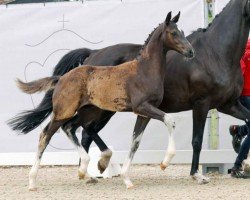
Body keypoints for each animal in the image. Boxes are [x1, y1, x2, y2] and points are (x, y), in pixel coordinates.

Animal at [9, 0, 250, 184]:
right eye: (174, 33)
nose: (190, 52)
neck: (215, 53)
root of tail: (92, 54)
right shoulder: (201, 104)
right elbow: (196, 140)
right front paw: (195, 175)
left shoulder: (228, 104)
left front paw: (240, 161)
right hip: (94, 111)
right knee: (70, 131)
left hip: (95, 110)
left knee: (80, 131)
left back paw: (88, 172)